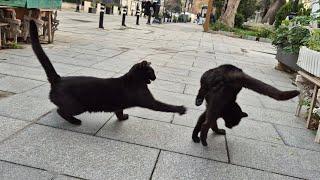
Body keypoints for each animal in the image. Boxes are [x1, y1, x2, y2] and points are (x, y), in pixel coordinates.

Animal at [29, 20, 188, 125]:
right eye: (152, 72)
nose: (156, 77)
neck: (134, 79)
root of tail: (58, 79)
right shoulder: (150, 101)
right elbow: (166, 106)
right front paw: (181, 109)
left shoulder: (119, 105)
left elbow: (119, 112)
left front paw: (122, 118)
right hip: (78, 106)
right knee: (61, 111)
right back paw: (75, 121)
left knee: (59, 108)